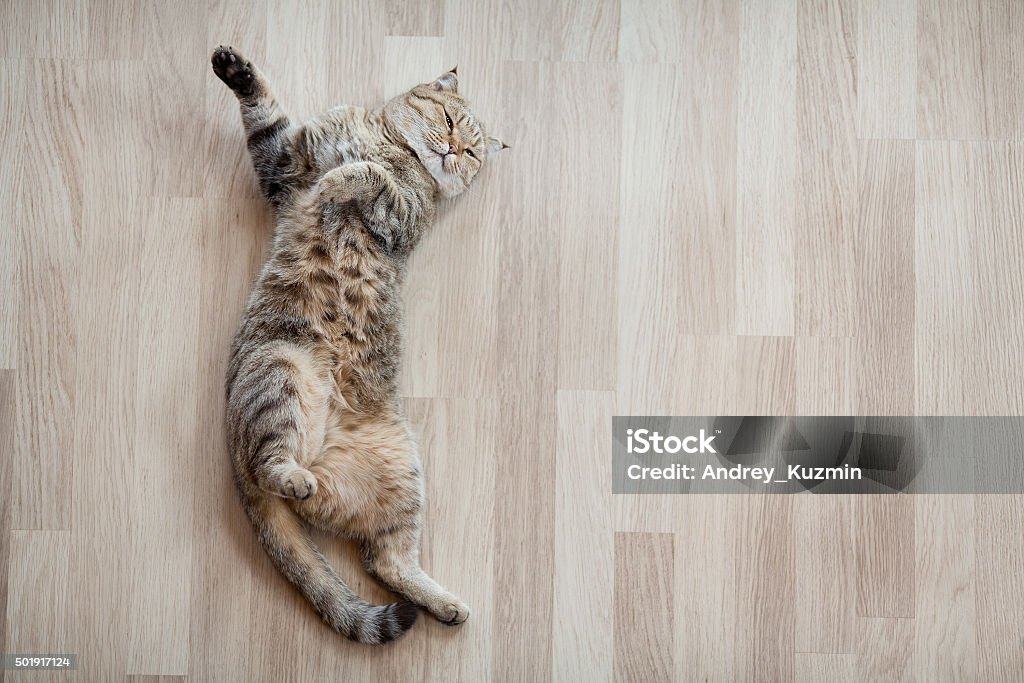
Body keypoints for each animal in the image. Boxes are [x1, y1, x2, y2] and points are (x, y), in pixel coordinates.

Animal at [212, 45, 507, 643]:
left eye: (470, 152)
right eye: (448, 121)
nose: (453, 151)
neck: (392, 143)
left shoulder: (401, 213)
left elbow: (364, 175)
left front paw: (343, 181)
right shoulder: (288, 159)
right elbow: (266, 117)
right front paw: (235, 70)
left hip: (399, 471)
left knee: (381, 558)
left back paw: (444, 603)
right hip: (280, 368)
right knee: (283, 475)